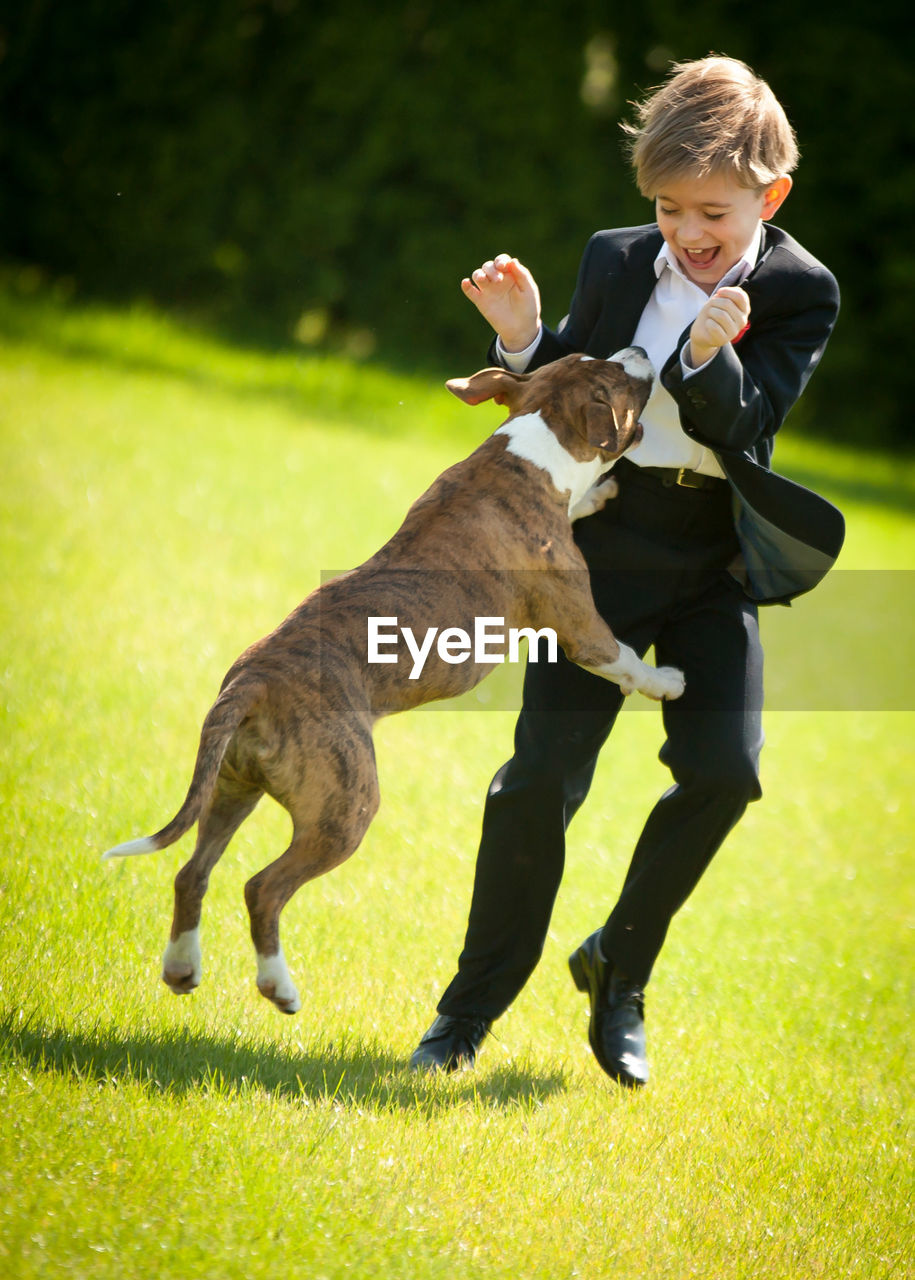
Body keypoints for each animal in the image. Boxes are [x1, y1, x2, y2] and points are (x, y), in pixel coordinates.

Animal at [103, 348, 685, 1008]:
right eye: (616, 377)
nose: (642, 351)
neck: (533, 449)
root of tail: (252, 682)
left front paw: (598, 492)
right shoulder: (581, 625)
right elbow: (625, 658)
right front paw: (667, 681)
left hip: (231, 787)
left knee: (191, 872)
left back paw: (182, 969)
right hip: (345, 806)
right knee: (262, 888)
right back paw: (280, 986)